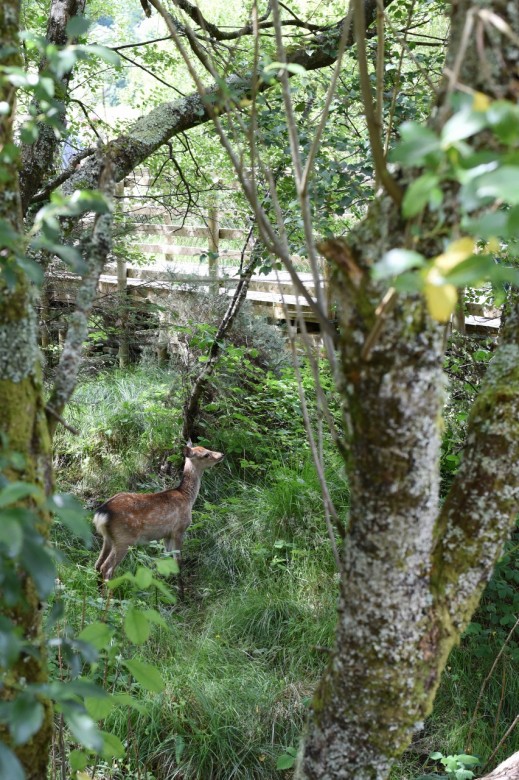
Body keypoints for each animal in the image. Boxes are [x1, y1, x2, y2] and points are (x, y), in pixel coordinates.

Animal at [93, 438, 223, 584]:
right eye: (206, 454)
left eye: (206, 449)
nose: (221, 455)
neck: (187, 498)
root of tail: (102, 513)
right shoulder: (179, 529)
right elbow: (178, 560)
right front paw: (179, 584)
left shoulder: (166, 534)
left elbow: (167, 558)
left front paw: (166, 581)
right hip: (124, 537)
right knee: (106, 568)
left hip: (108, 538)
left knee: (97, 565)